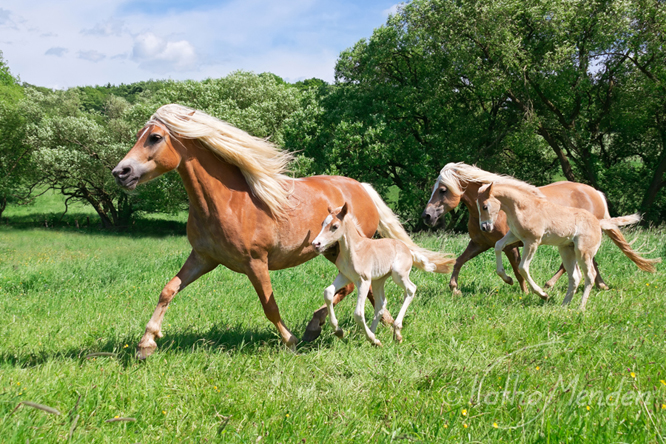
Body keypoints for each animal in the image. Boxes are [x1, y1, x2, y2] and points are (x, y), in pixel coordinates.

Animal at [310, 203, 430, 346]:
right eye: (322, 223)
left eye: (335, 226)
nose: (316, 244)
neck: (353, 251)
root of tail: (408, 249)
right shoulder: (345, 276)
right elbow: (328, 292)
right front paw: (338, 331)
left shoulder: (363, 281)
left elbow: (358, 313)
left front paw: (371, 338)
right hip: (378, 280)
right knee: (381, 303)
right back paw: (373, 336)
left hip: (398, 275)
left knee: (411, 289)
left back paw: (395, 332)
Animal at [422, 163, 616, 294]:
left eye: (443, 190)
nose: (426, 216)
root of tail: (596, 193)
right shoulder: (479, 244)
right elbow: (459, 261)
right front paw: (454, 288)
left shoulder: (510, 245)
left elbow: (517, 270)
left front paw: (522, 289)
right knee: (589, 261)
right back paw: (600, 284)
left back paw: (551, 284)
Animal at [474, 180, 656, 308]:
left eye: (485, 206)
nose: (484, 227)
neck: (524, 207)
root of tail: (598, 222)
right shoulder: (514, 235)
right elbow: (498, 245)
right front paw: (507, 278)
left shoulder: (532, 241)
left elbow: (523, 267)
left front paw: (542, 294)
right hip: (567, 251)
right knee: (575, 277)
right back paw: (564, 305)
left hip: (583, 252)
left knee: (589, 276)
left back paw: (580, 307)